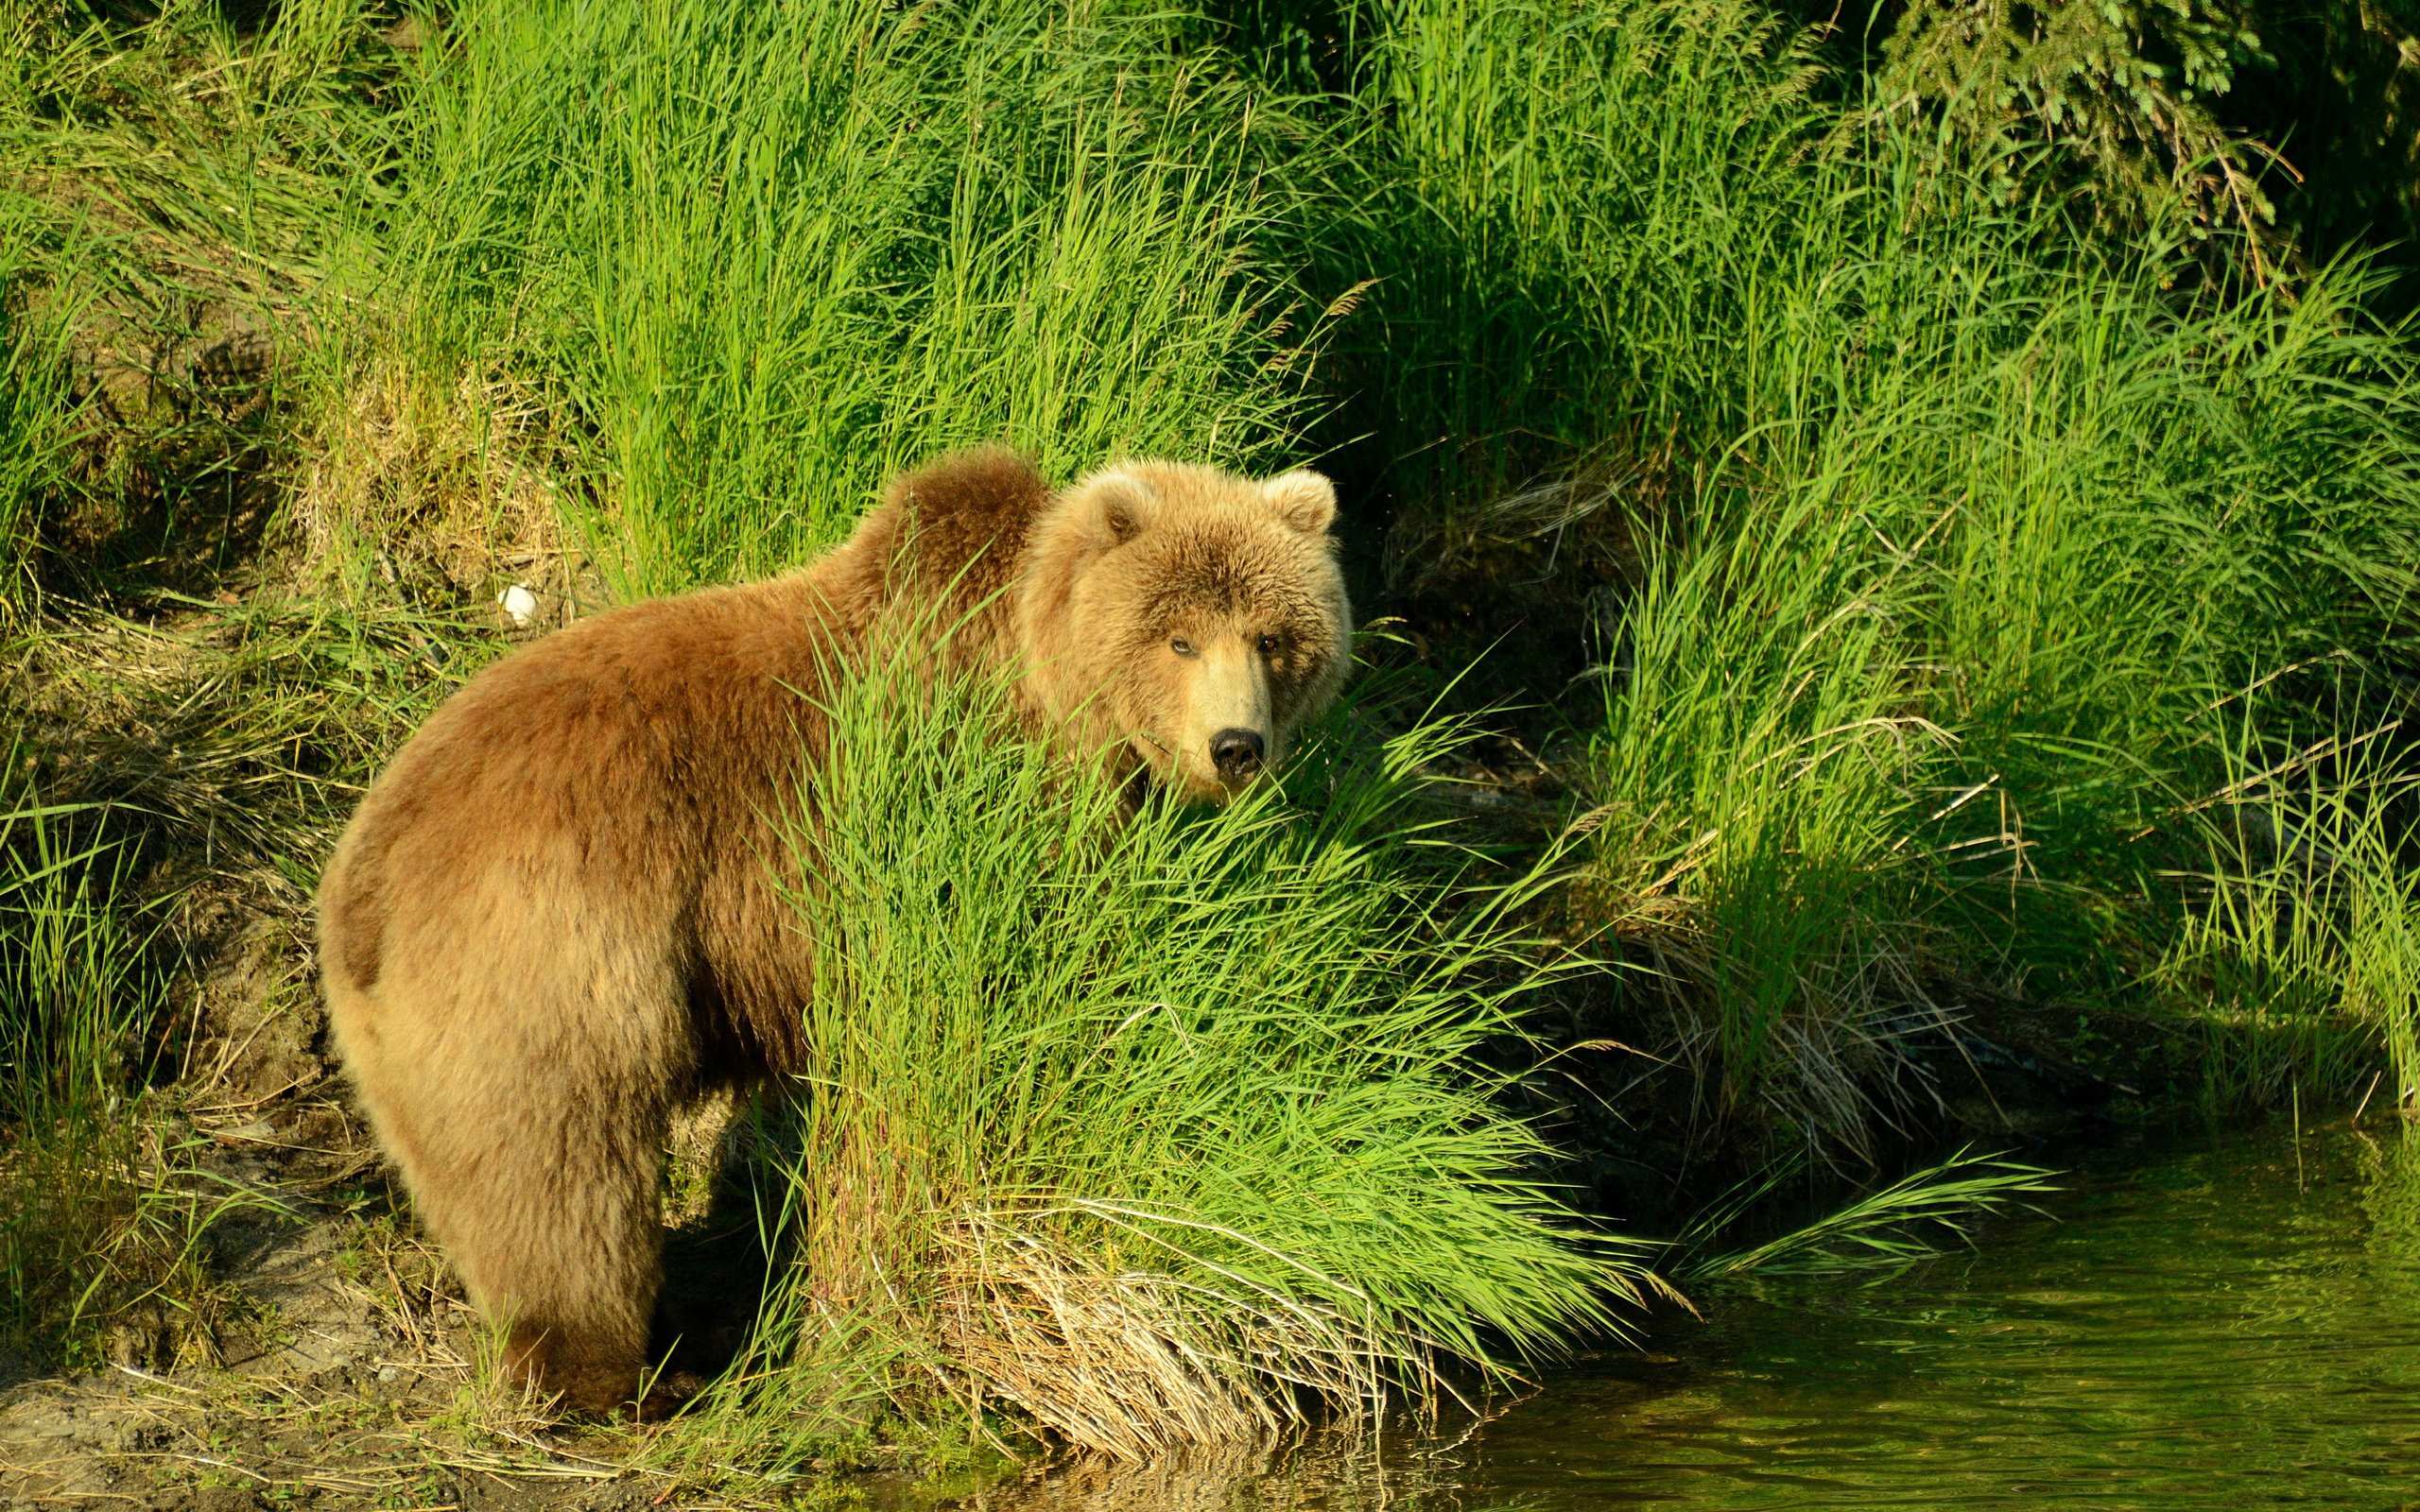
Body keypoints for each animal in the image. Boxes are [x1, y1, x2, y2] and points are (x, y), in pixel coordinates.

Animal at [312, 445, 1355, 1413]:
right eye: (1178, 639)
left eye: (1272, 637)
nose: (1236, 746)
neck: (1043, 673)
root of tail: (361, 873)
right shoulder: (960, 810)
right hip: (554, 943)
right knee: (561, 1161)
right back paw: (615, 1369)